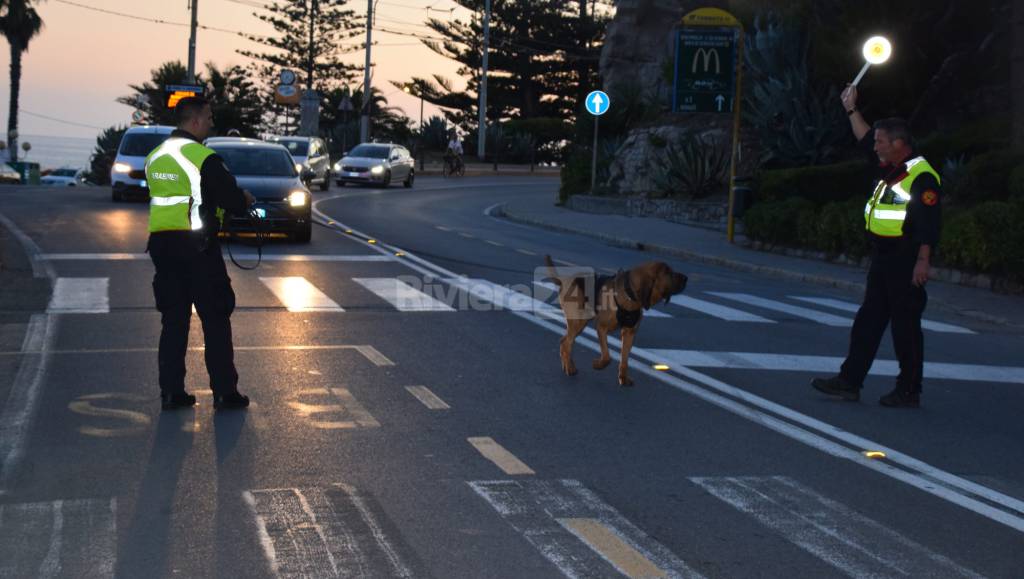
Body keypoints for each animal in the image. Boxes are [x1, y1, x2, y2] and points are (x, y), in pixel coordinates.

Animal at [544, 255, 688, 385]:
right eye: (667, 272)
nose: (686, 278)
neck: (629, 295)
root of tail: (564, 280)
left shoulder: (629, 333)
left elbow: (624, 359)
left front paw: (623, 378)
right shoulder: (601, 328)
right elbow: (607, 356)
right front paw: (598, 364)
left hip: (579, 324)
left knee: (564, 341)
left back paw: (568, 365)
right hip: (579, 321)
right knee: (566, 343)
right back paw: (569, 368)